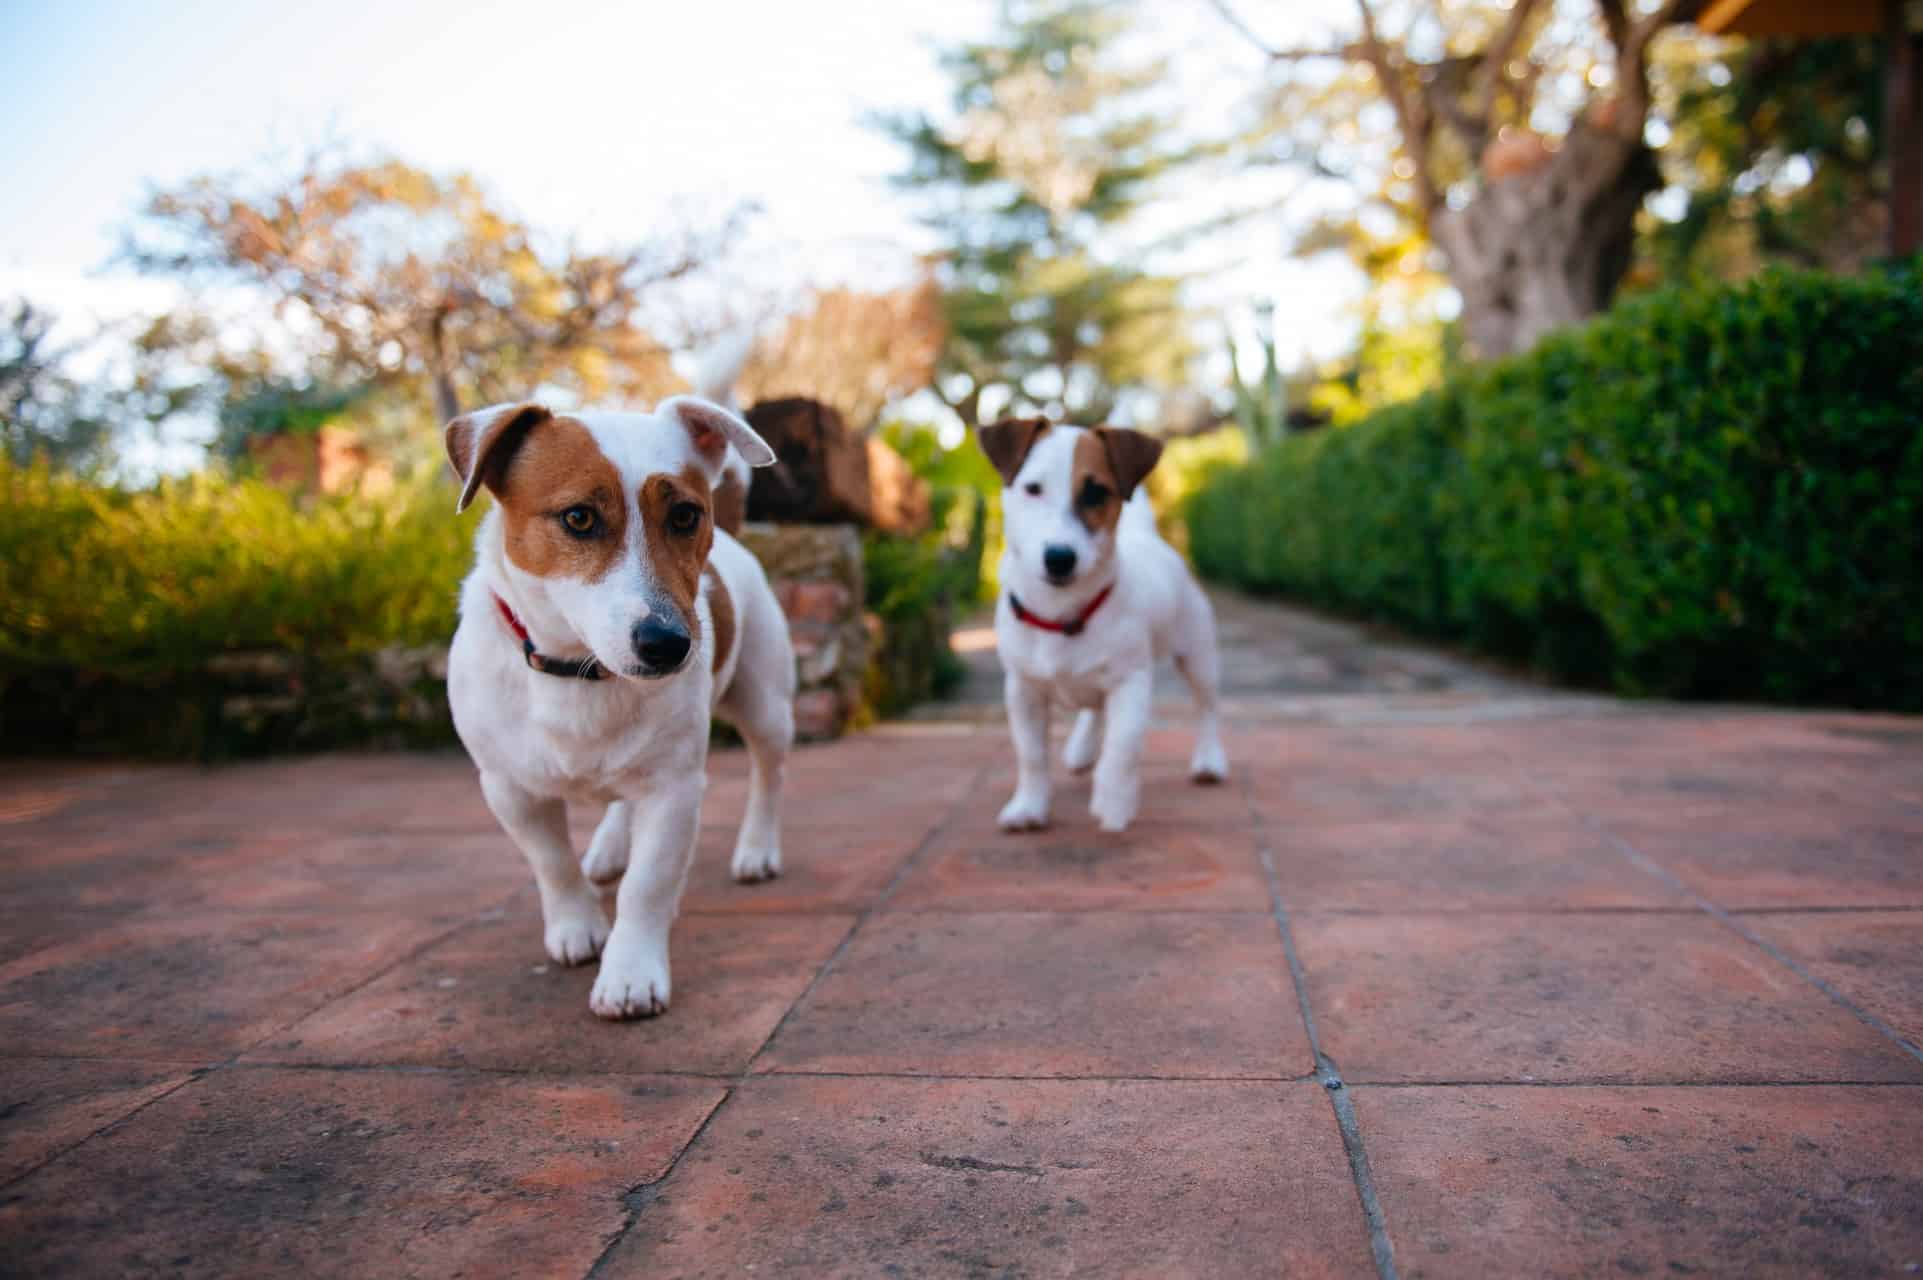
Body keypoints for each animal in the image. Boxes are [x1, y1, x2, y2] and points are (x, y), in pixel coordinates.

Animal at [446, 351, 792, 1014]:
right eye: (578, 517)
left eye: (685, 515)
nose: (669, 644)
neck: (578, 672)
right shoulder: (508, 788)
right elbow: (551, 861)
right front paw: (576, 925)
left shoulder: (674, 788)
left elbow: (648, 885)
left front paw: (630, 972)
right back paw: (609, 848)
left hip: (766, 706)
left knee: (767, 777)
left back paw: (758, 848)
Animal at [976, 418, 1230, 834]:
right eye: (1032, 488)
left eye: (1096, 493)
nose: (1059, 558)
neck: (1063, 615)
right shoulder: (1022, 689)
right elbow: (1031, 755)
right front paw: (1029, 806)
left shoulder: (1131, 682)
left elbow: (1122, 747)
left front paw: (1114, 800)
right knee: (1093, 710)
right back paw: (1081, 750)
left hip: (1198, 654)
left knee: (1207, 707)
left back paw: (1209, 760)